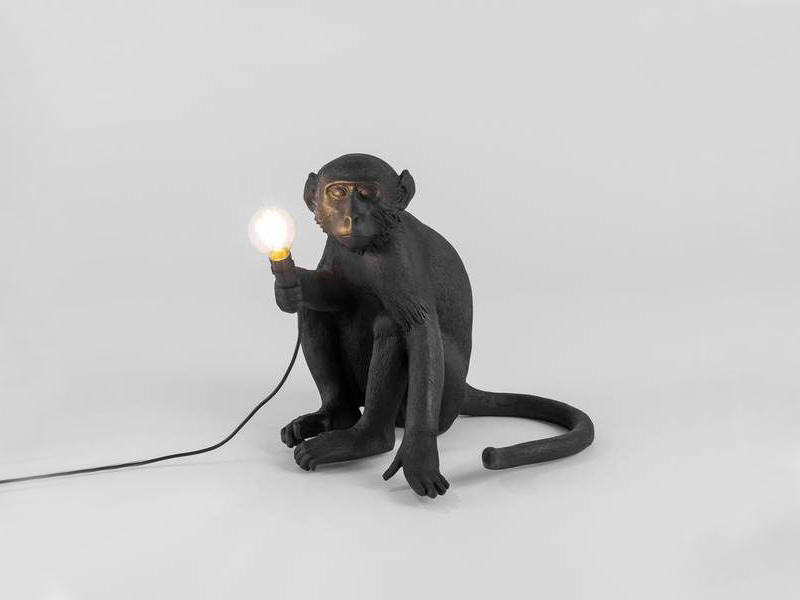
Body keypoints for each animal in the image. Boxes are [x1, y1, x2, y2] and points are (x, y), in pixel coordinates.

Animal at [274, 154, 594, 498]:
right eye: (338, 192)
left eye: (367, 194)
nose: (351, 217)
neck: (370, 245)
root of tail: (464, 388)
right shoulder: (337, 247)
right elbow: (333, 292)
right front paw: (292, 285)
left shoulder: (399, 256)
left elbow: (419, 330)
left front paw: (418, 454)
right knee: (315, 313)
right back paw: (336, 415)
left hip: (446, 397)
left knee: (391, 325)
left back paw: (367, 439)